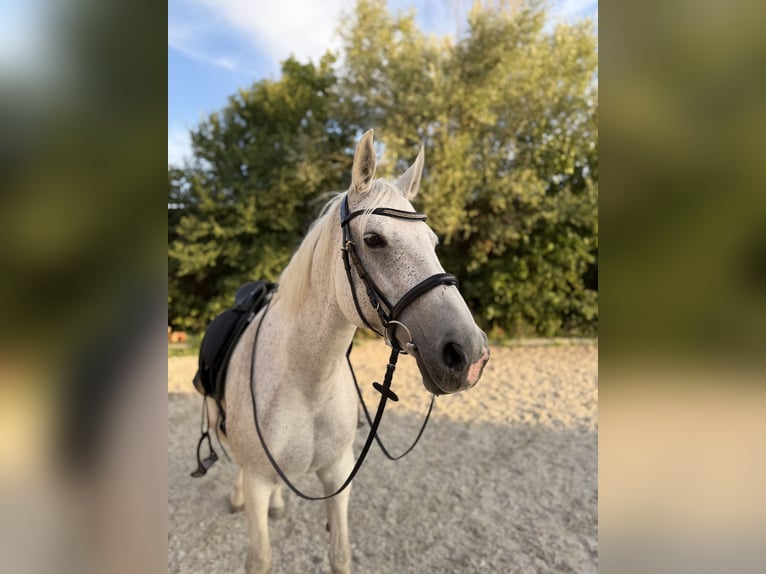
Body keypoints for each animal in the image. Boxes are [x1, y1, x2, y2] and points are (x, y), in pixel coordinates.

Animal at [215, 130, 490, 574]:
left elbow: (340, 553)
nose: (471, 354)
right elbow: (260, 557)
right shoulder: (258, 479)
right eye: (373, 240)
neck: (305, 383)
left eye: (433, 241)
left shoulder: (337, 474)